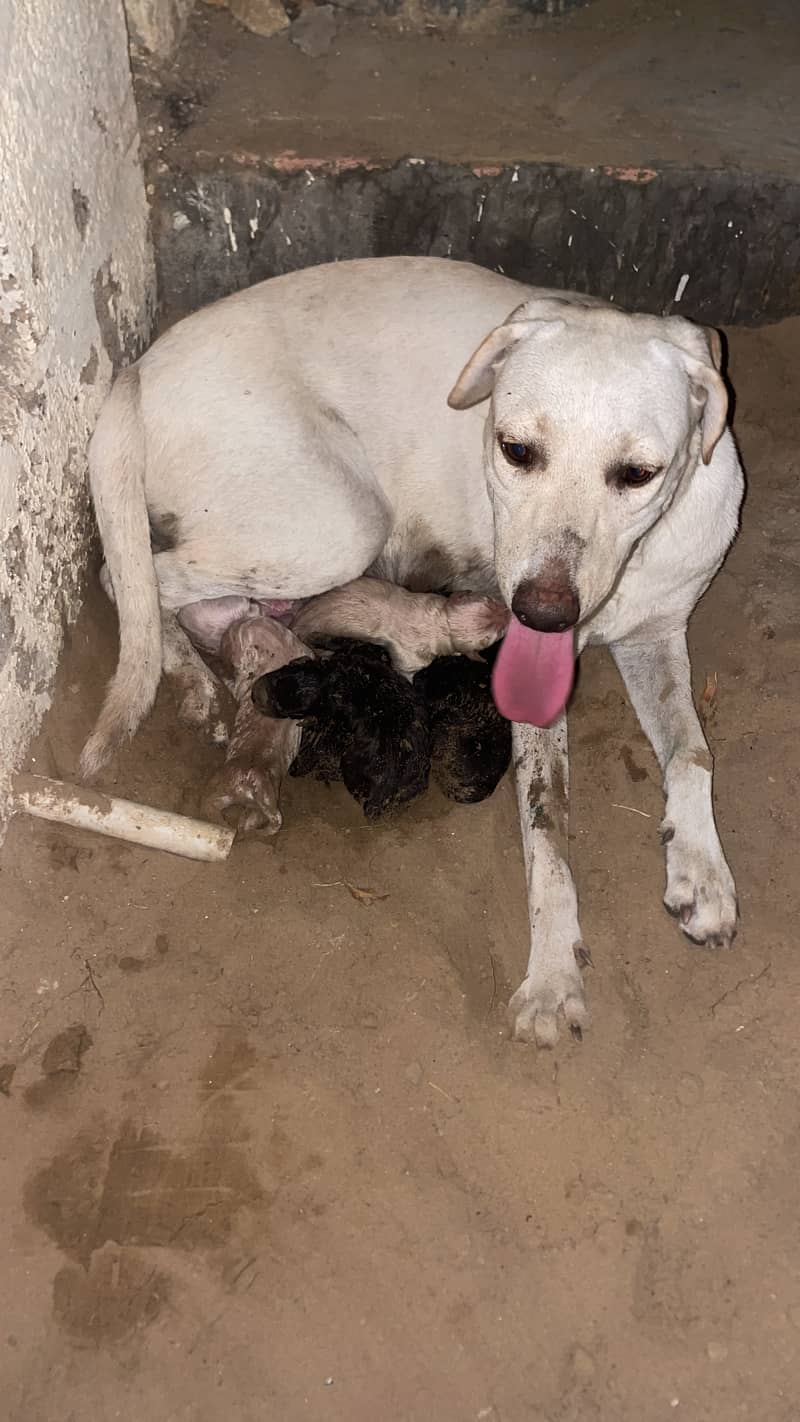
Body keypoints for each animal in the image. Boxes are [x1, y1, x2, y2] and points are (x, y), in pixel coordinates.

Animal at [176, 600, 311, 830]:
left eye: (230, 638)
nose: (221, 644)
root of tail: (254, 783)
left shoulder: (242, 685)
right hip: (259, 811)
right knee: (252, 822)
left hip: (218, 791)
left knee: (212, 809)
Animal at [291, 577, 511, 676]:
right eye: (497, 634)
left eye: (491, 600)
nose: (510, 612)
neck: (439, 623)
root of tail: (294, 623)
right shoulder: (409, 658)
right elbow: (404, 670)